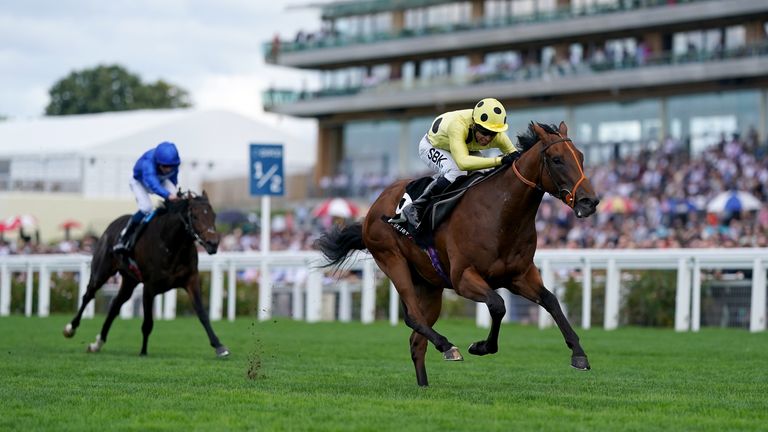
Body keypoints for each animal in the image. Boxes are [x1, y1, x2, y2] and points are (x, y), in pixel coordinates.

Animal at [63, 190, 230, 358]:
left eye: (214, 215)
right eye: (195, 216)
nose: (213, 243)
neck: (170, 245)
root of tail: (111, 226)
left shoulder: (191, 280)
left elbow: (202, 314)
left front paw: (219, 346)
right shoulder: (149, 287)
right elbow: (148, 322)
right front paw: (143, 351)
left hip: (129, 281)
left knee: (115, 305)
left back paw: (97, 343)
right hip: (101, 272)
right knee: (88, 295)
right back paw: (70, 328)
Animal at [316, 122, 600, 388]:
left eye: (581, 156)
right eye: (557, 159)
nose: (590, 201)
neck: (501, 215)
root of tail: (375, 206)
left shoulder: (519, 276)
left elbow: (551, 301)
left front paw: (579, 354)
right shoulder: (463, 277)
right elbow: (498, 305)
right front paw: (481, 347)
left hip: (429, 285)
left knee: (416, 341)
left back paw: (425, 384)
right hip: (391, 259)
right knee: (413, 317)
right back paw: (447, 346)